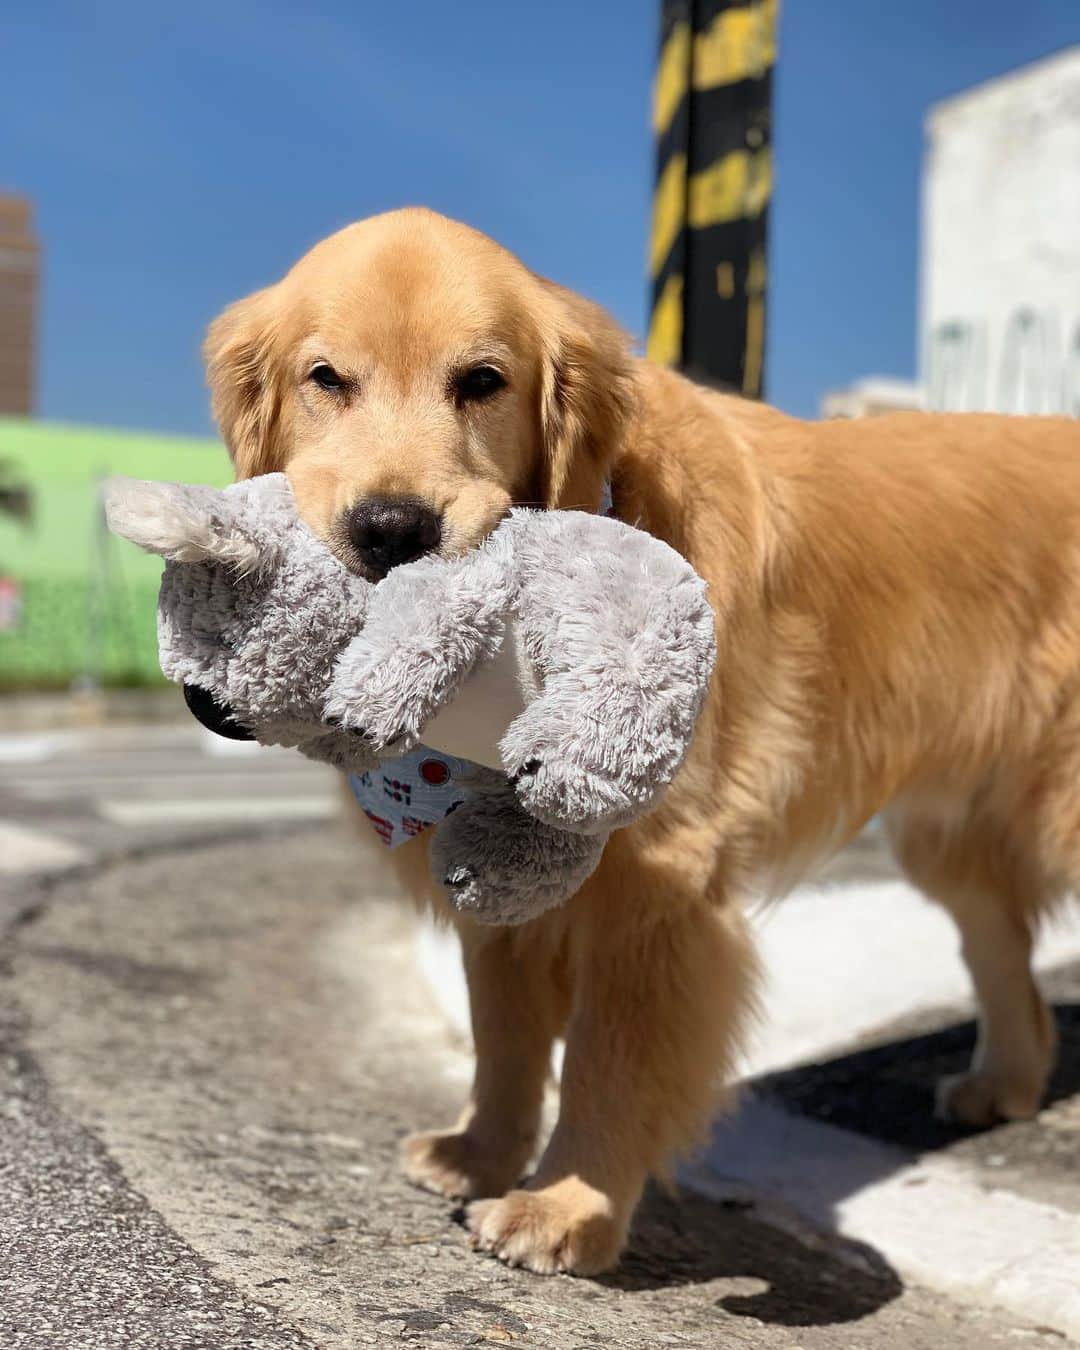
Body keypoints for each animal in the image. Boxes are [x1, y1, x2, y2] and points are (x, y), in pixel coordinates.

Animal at [206, 205, 1074, 1269]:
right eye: (326, 378)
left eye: (483, 381)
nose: (393, 529)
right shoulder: (496, 863)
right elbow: (503, 1035)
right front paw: (480, 1152)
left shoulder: (657, 878)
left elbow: (608, 1059)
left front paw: (564, 1206)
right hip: (942, 833)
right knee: (1004, 953)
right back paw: (1007, 1081)